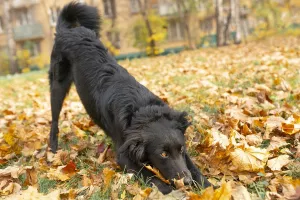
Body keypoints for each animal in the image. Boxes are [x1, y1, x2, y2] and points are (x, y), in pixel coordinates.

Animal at [48, 2, 211, 195]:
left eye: (181, 149)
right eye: (163, 154)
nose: (186, 182)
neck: (142, 110)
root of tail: (67, 31)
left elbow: (193, 167)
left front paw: (209, 186)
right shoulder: (123, 155)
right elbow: (150, 176)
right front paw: (170, 192)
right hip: (57, 85)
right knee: (54, 121)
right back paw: (52, 150)